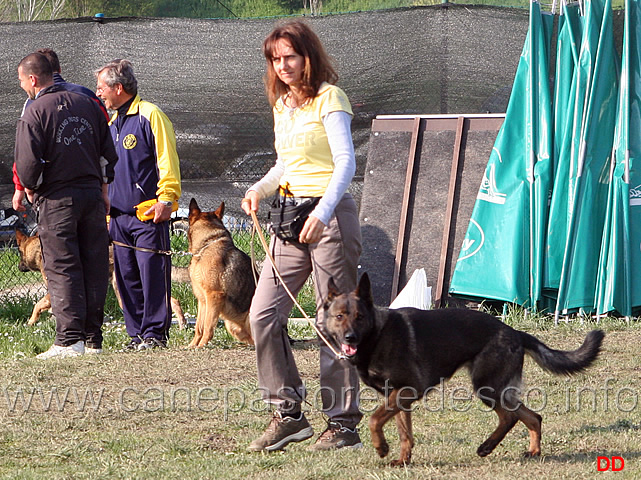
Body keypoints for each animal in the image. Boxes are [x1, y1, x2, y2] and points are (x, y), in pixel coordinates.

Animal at [186, 197, 254, 346]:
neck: (207, 244)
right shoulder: (203, 300)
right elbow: (199, 327)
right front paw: (193, 345)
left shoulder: (214, 296)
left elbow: (207, 327)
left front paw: (202, 346)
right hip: (231, 325)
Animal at [322, 274, 604, 464]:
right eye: (340, 316)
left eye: (359, 317)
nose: (349, 338)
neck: (376, 335)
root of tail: (514, 332)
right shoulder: (397, 396)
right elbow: (405, 433)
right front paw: (403, 460)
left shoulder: (407, 390)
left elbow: (374, 419)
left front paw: (381, 447)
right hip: (497, 389)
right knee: (533, 416)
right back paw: (533, 451)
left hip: (486, 387)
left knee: (510, 417)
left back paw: (487, 447)